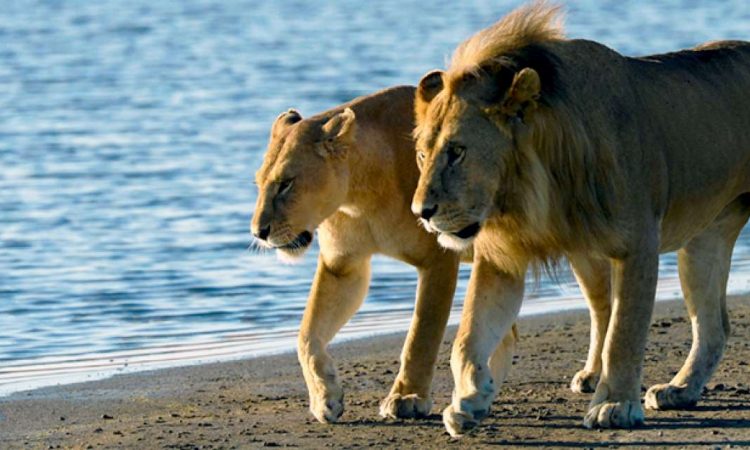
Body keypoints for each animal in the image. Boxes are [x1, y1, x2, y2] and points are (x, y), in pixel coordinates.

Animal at [250, 86, 523, 423]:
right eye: (259, 183)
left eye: (286, 184)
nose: (257, 232)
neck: (359, 195)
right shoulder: (343, 267)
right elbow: (307, 334)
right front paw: (325, 397)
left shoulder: (438, 260)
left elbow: (421, 333)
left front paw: (407, 397)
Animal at [411, 1, 750, 436]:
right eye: (423, 154)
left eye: (457, 151)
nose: (421, 212)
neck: (532, 189)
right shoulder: (502, 258)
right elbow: (468, 335)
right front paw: (471, 398)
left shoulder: (639, 243)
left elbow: (624, 333)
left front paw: (615, 405)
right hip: (704, 242)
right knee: (713, 326)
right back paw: (681, 390)